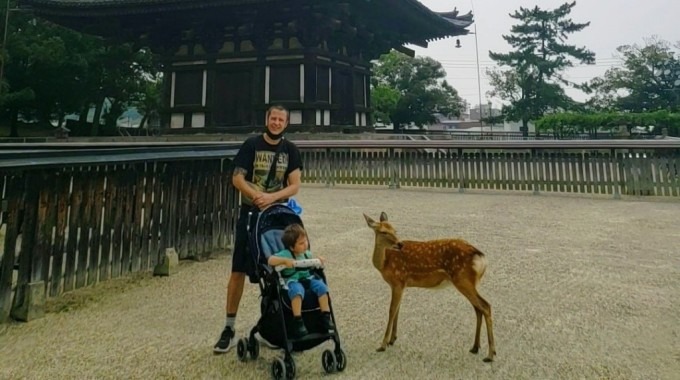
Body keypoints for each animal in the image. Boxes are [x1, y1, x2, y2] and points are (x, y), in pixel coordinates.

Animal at [364, 211, 496, 362]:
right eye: (383, 232)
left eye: (395, 230)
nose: (400, 244)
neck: (384, 263)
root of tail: (481, 257)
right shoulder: (401, 285)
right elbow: (397, 310)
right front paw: (392, 339)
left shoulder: (398, 281)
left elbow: (391, 311)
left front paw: (383, 344)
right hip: (469, 282)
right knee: (478, 308)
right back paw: (475, 347)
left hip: (463, 279)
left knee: (485, 306)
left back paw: (490, 354)